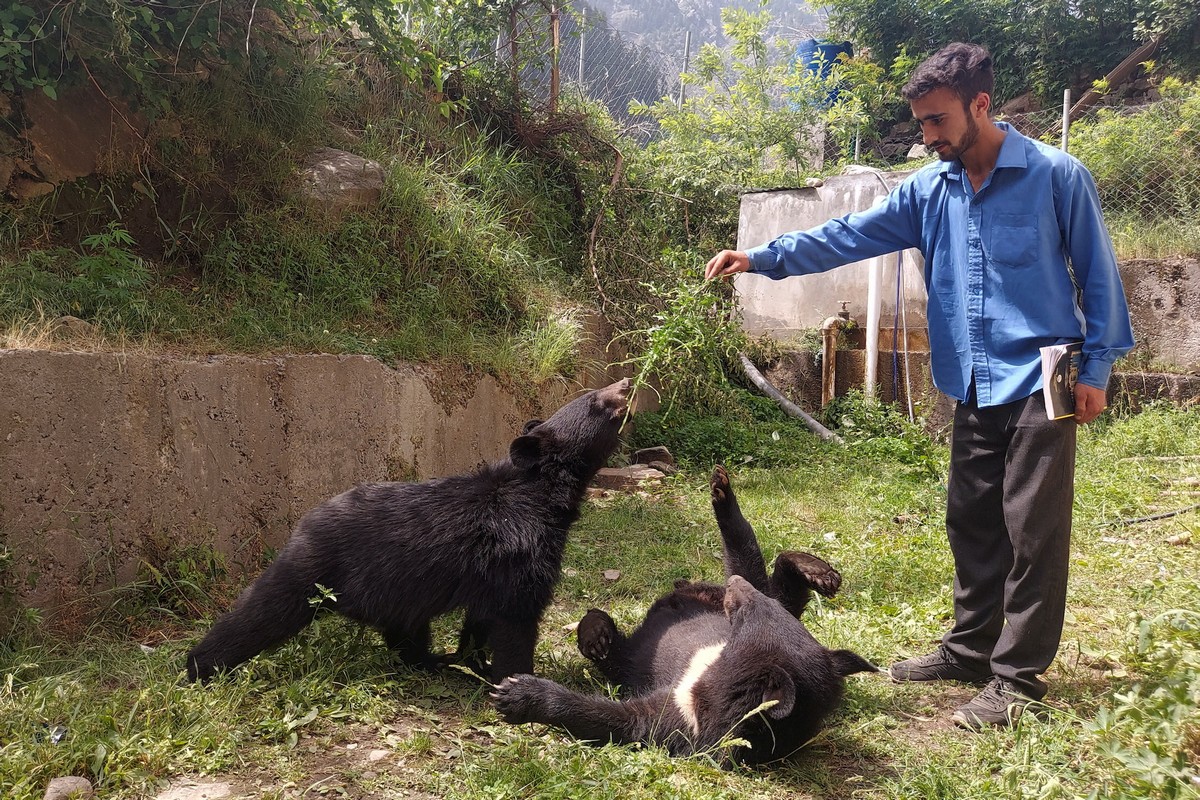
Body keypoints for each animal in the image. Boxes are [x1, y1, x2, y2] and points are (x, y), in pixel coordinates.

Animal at [183, 379, 633, 686]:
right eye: (596, 400)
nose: (627, 382)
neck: (543, 495)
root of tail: (303, 525)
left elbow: (481, 618)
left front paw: (474, 660)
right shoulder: (519, 549)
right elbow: (515, 616)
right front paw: (516, 678)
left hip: (399, 592)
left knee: (406, 632)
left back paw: (431, 661)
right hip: (316, 572)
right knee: (260, 614)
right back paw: (200, 667)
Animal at [492, 465, 878, 767]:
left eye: (751, 614)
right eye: (762, 612)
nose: (736, 588)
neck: (710, 674)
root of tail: (691, 590)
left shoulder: (684, 719)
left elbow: (622, 720)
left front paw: (516, 693)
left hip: (635, 657)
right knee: (760, 567)